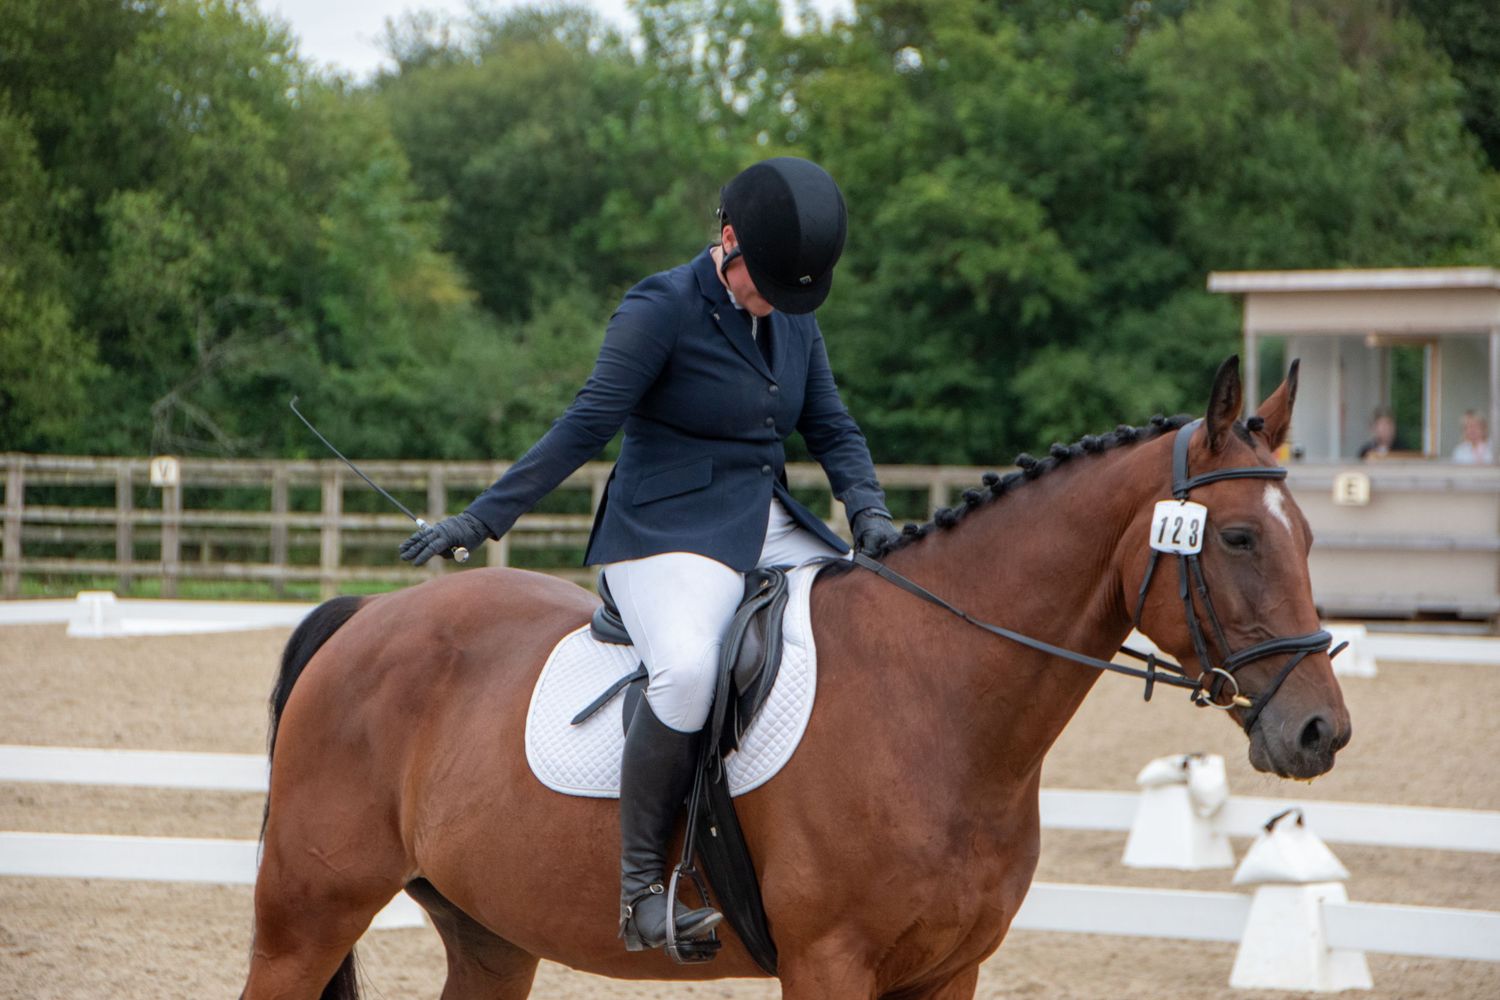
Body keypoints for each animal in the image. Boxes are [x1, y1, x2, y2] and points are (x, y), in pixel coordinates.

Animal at [242, 356, 1351, 999]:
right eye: (1240, 538)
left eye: (1308, 537)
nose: (1320, 732)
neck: (939, 704)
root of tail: (367, 614)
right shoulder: (831, 963)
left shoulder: (949, 973)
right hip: (306, 916)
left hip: (489, 936)